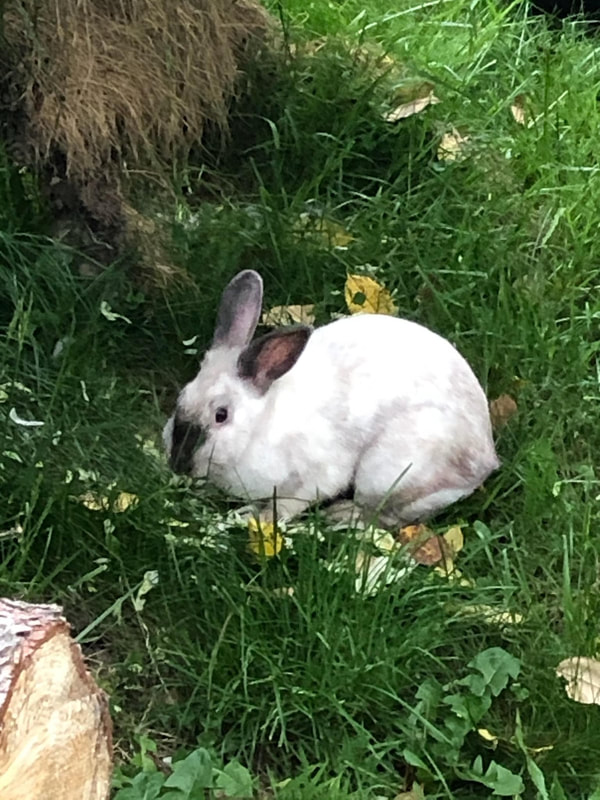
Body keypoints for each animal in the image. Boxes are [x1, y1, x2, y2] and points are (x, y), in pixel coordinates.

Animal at [163, 269, 499, 527]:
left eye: (221, 415)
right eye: (181, 397)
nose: (178, 463)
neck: (260, 426)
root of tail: (485, 459)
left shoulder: (314, 477)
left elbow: (292, 502)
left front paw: (259, 517)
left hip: (390, 472)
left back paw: (341, 515)